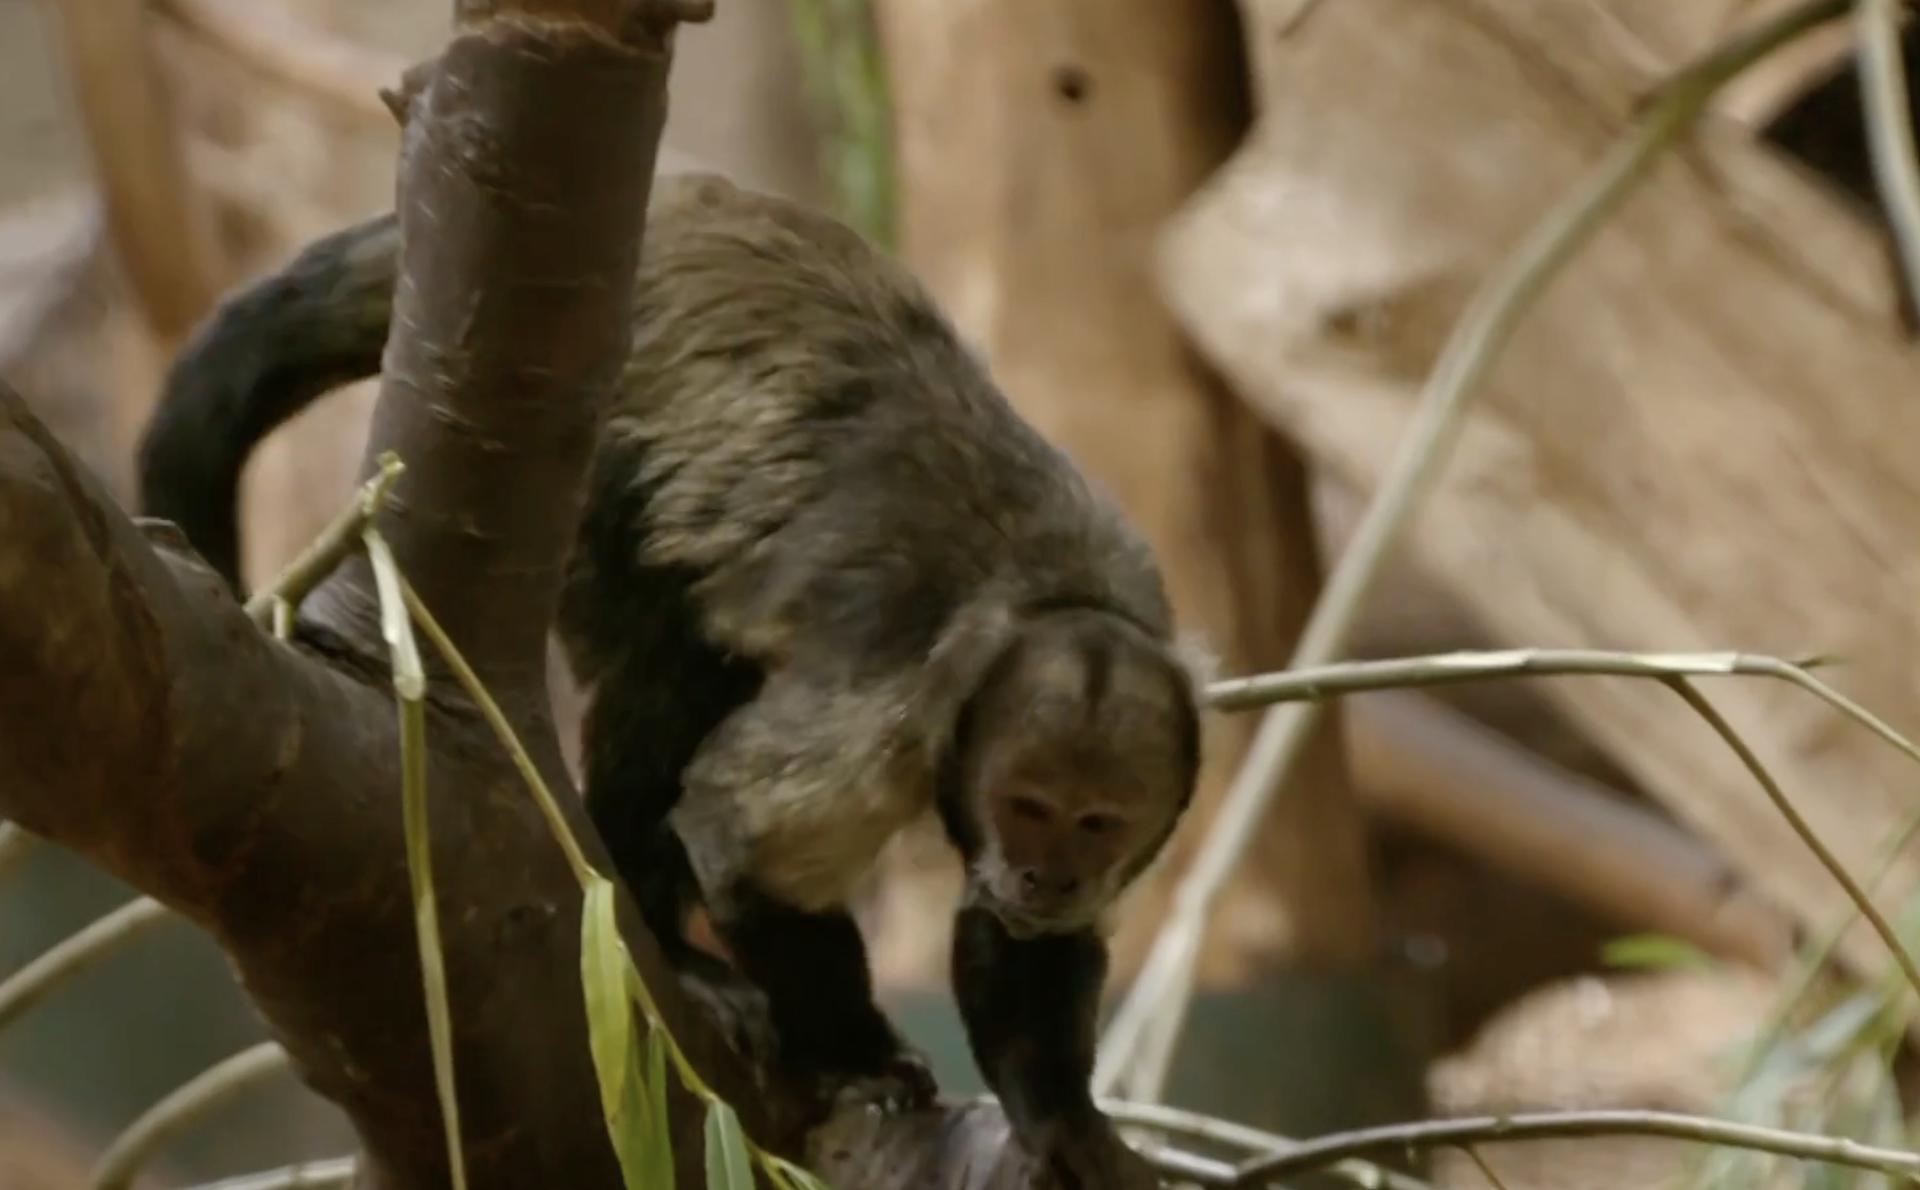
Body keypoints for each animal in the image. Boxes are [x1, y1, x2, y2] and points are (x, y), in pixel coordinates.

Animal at [137, 171, 1205, 1190]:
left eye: (1095, 824)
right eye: (1028, 807)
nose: (1044, 873)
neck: (1046, 595)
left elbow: (1025, 946)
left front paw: (1058, 1115)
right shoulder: (901, 707)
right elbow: (740, 836)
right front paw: (855, 1053)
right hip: (601, 456)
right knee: (665, 672)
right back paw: (664, 936)